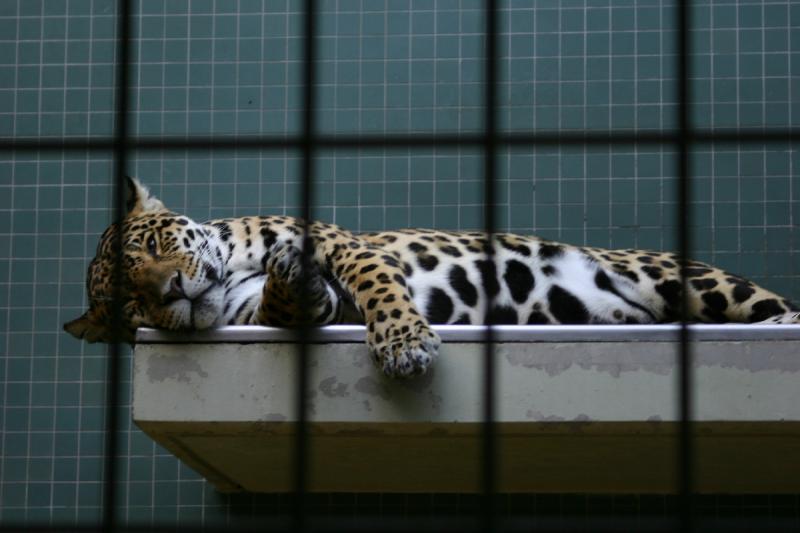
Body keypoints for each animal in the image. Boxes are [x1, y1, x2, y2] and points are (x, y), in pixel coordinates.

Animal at [65, 179, 800, 378]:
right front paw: (289, 281)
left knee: (774, 303)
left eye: (154, 244)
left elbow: (375, 281)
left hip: (684, 279)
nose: (171, 290)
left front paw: (402, 342)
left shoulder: (345, 244)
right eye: (131, 306)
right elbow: (290, 307)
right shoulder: (274, 316)